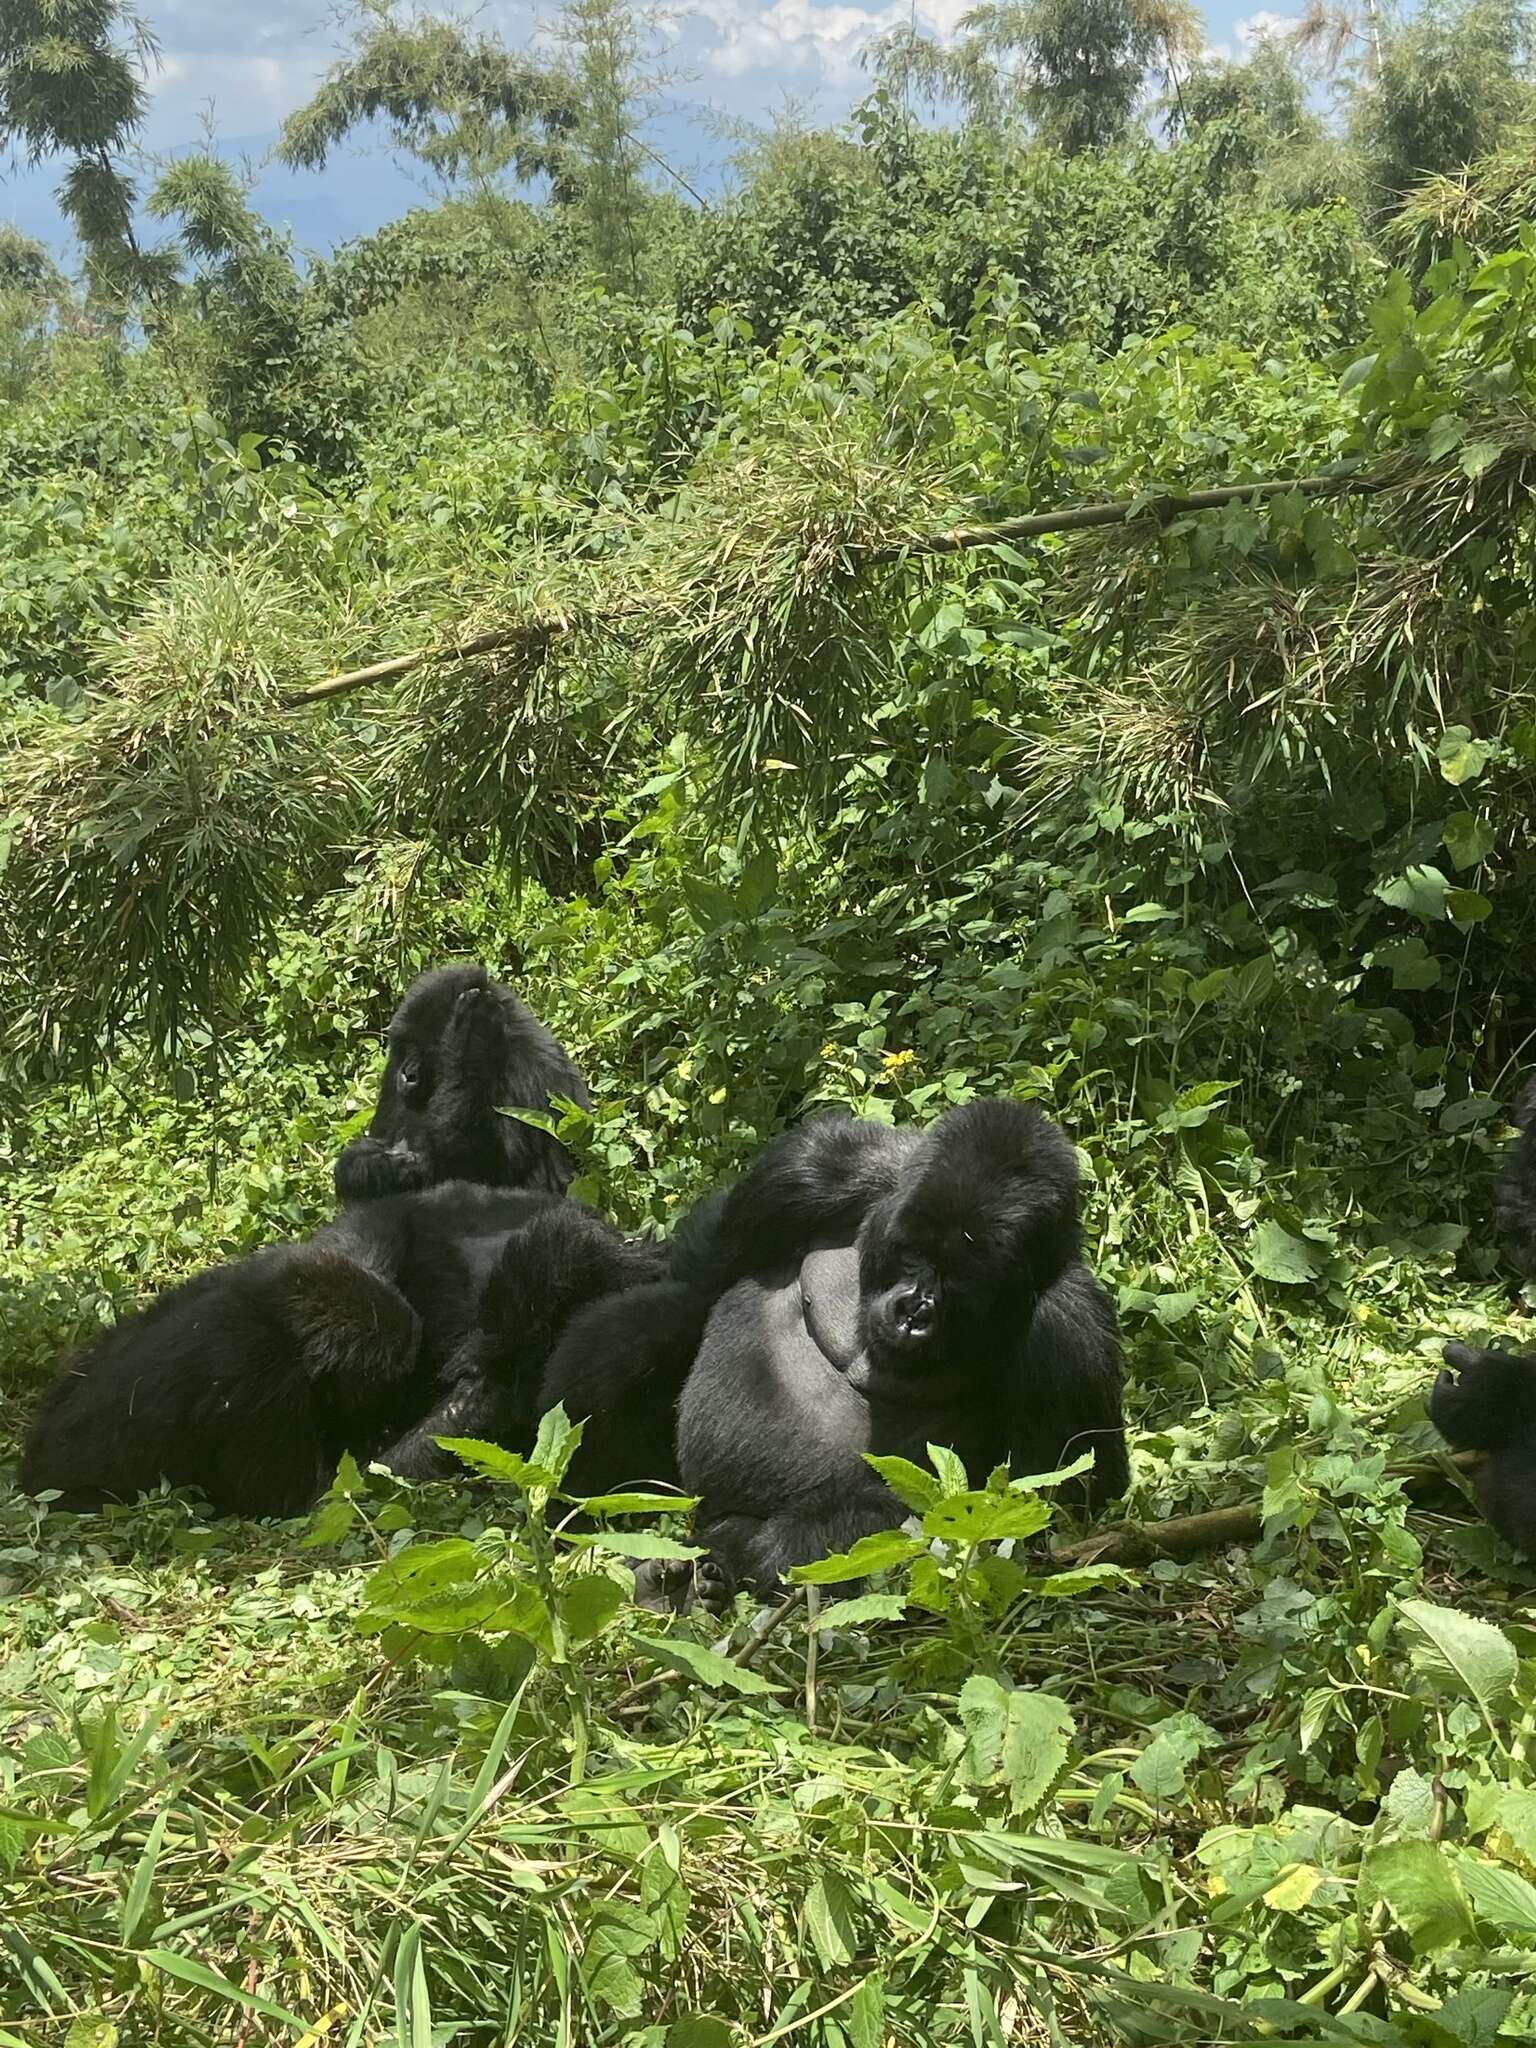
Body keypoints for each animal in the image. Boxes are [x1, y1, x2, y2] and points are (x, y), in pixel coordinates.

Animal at [331, 966, 589, 1204]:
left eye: (431, 1050)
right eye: (408, 1044)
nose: (407, 1074)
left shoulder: (530, 1070)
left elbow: (458, 1161)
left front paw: (472, 1032)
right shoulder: (393, 1068)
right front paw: (372, 1166)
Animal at [663, 1105, 1130, 1597]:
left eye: (963, 1279)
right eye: (913, 1253)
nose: (914, 1311)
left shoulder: (1070, 1328)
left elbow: (1051, 1505)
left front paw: (747, 1549)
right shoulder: (820, 1164)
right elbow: (696, 1276)